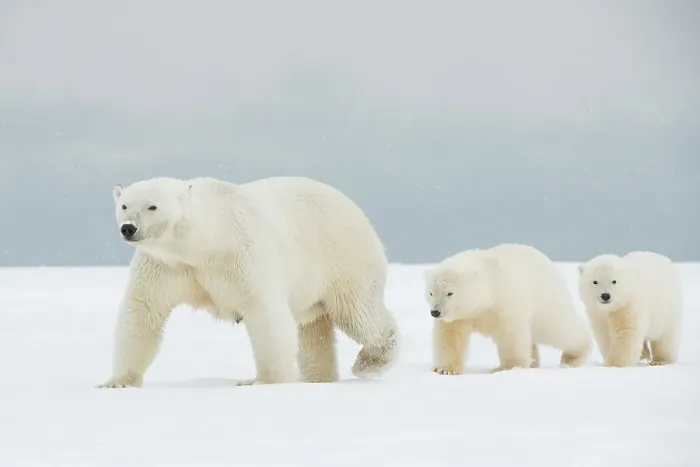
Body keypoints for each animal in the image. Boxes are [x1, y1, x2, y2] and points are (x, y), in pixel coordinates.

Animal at [98, 175, 398, 388]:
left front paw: (263, 380)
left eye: (152, 206)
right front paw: (117, 382)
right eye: (124, 205)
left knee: (357, 311)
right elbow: (142, 311)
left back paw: (371, 361)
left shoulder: (241, 255)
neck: (201, 244)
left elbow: (265, 312)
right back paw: (318, 377)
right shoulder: (164, 266)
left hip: (343, 258)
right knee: (315, 330)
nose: (128, 227)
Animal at [425, 243, 592, 375]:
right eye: (431, 292)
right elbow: (450, 338)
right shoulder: (458, 317)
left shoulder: (504, 303)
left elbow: (510, 334)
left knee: (559, 329)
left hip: (546, 298)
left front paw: (507, 368)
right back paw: (533, 361)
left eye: (450, 293)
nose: (435, 312)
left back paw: (572, 357)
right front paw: (444, 369)